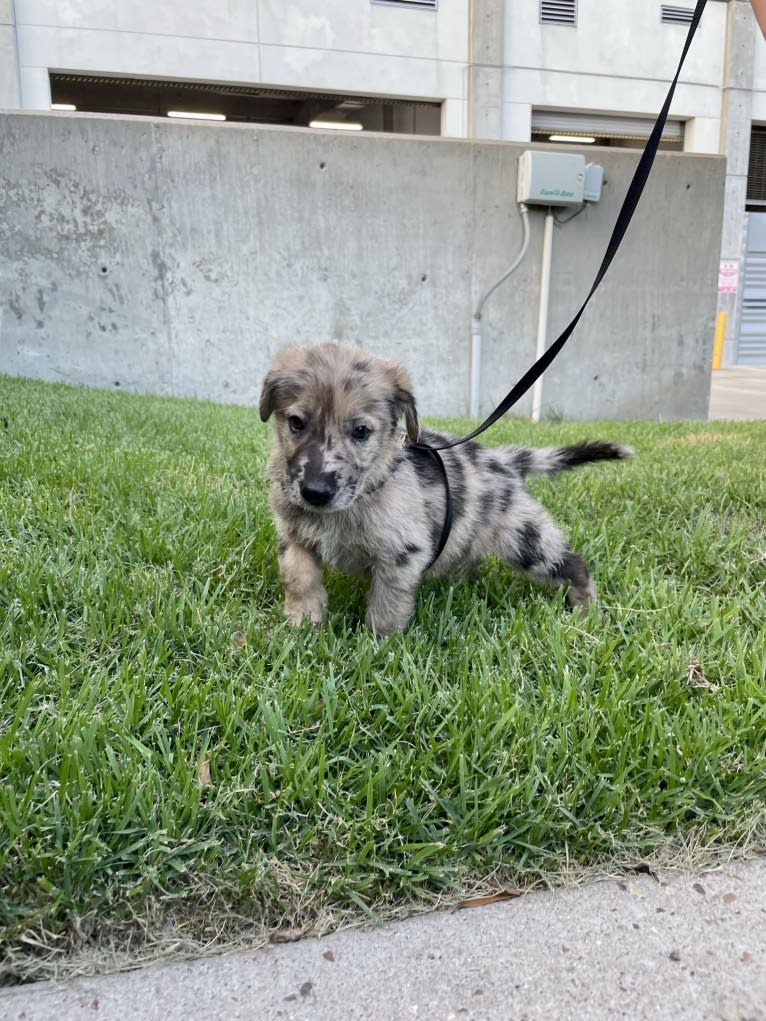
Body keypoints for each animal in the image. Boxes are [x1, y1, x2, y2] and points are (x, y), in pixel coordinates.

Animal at [261, 345, 633, 628]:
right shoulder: (294, 536)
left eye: (361, 432)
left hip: (525, 540)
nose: (315, 493)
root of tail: (503, 460)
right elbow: (298, 577)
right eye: (296, 423)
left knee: (573, 565)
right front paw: (302, 622)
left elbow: (386, 606)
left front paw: (378, 646)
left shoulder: (402, 555)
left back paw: (587, 614)